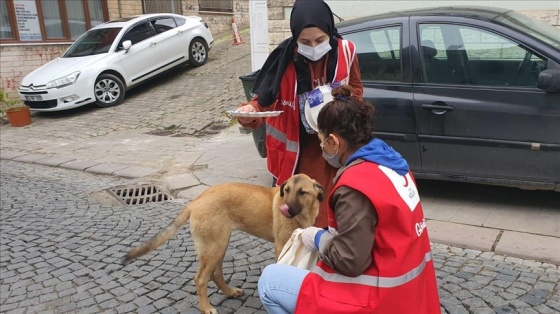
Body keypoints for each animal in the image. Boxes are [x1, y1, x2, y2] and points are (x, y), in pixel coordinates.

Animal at [122, 174, 324, 314]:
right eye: (286, 190)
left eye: (302, 192)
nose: (284, 209)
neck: (302, 214)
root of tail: (196, 201)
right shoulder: (281, 246)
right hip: (215, 246)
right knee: (201, 278)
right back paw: (206, 308)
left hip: (219, 244)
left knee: (215, 274)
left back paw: (230, 292)